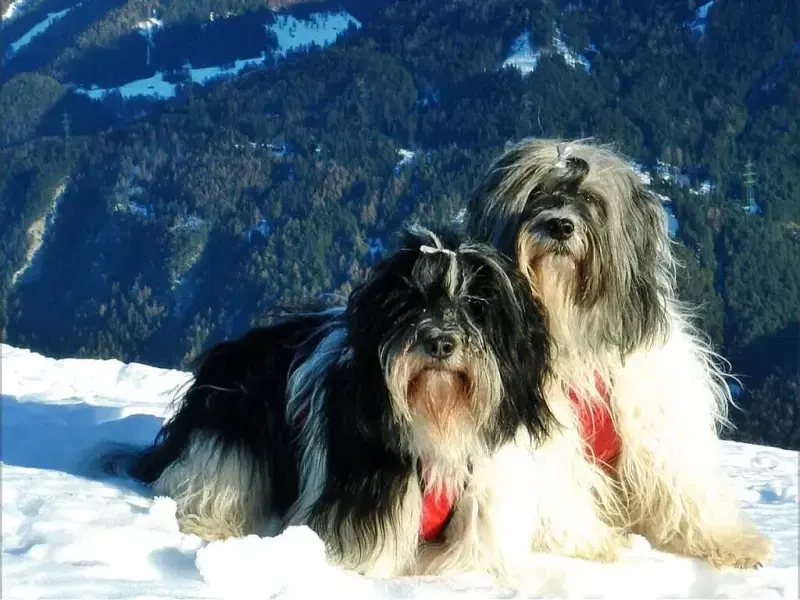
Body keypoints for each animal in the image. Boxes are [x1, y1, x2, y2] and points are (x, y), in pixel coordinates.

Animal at [464, 138, 772, 569]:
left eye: (590, 200)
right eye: (536, 194)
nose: (559, 225)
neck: (571, 332)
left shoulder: (653, 409)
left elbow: (681, 479)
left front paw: (729, 543)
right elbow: (562, 489)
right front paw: (599, 544)